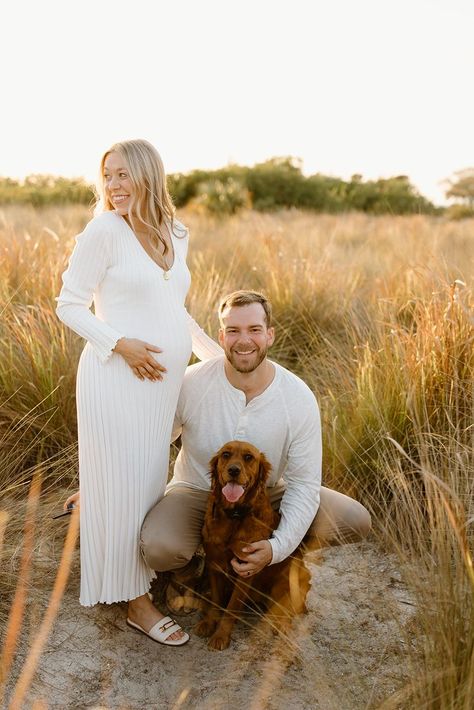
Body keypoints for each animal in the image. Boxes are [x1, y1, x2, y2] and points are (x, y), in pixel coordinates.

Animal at [193, 442, 312, 652]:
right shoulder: (214, 565)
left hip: (294, 577)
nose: (233, 470)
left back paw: (282, 626)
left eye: (249, 457)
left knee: (285, 612)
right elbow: (216, 601)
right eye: (226, 454)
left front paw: (221, 635)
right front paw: (209, 622)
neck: (235, 516)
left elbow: (231, 608)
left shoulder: (246, 571)